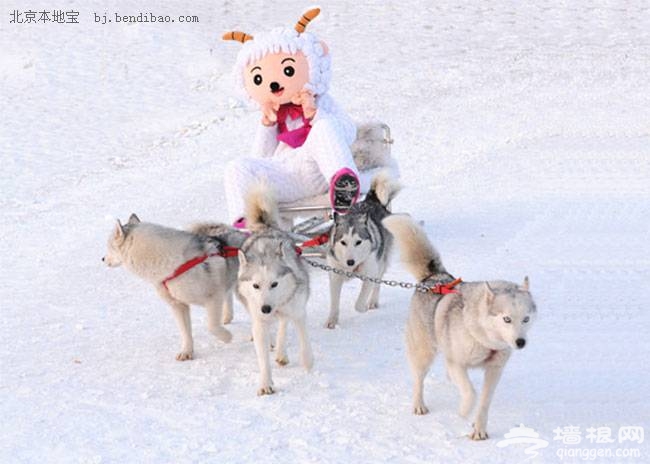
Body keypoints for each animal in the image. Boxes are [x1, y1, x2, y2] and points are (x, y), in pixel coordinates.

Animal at [102, 216, 247, 360]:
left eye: (109, 246)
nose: (102, 259)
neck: (173, 265)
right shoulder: (178, 305)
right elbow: (185, 332)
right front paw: (186, 352)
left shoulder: (213, 298)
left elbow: (211, 326)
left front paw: (227, 337)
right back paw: (227, 317)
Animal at [237, 185, 312, 396]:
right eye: (255, 285)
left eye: (274, 284)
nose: (265, 309)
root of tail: (266, 227)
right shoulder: (260, 322)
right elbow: (263, 359)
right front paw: (265, 384)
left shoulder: (298, 313)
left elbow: (304, 341)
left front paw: (308, 364)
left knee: (283, 325)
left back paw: (281, 352)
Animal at [324, 171, 400, 330]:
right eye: (343, 242)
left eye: (358, 242)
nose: (350, 262)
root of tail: (372, 200)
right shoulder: (335, 275)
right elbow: (334, 302)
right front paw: (332, 320)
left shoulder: (370, 272)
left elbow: (359, 304)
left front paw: (363, 307)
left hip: (381, 263)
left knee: (377, 283)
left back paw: (372, 302)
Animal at [382, 216, 536, 440]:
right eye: (506, 319)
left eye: (526, 319)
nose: (521, 342)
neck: (485, 341)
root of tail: (434, 278)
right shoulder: (457, 363)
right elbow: (470, 392)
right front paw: (464, 411)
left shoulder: (494, 370)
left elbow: (484, 401)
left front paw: (479, 429)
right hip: (424, 352)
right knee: (419, 379)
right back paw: (419, 404)